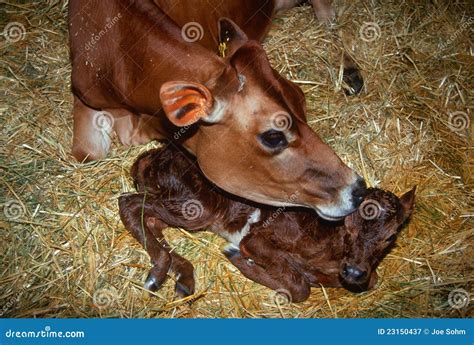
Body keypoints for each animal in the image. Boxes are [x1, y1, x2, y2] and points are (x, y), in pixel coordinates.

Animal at [69, 0, 366, 219]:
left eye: (302, 98)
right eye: (273, 136)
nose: (359, 189)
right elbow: (87, 152)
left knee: (329, 21)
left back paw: (351, 72)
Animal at [119, 144, 414, 300]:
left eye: (390, 236)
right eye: (348, 226)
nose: (353, 271)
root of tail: (149, 157)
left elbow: (371, 280)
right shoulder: (255, 238)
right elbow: (299, 288)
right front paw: (239, 258)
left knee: (151, 221)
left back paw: (183, 279)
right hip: (196, 207)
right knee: (129, 203)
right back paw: (157, 275)